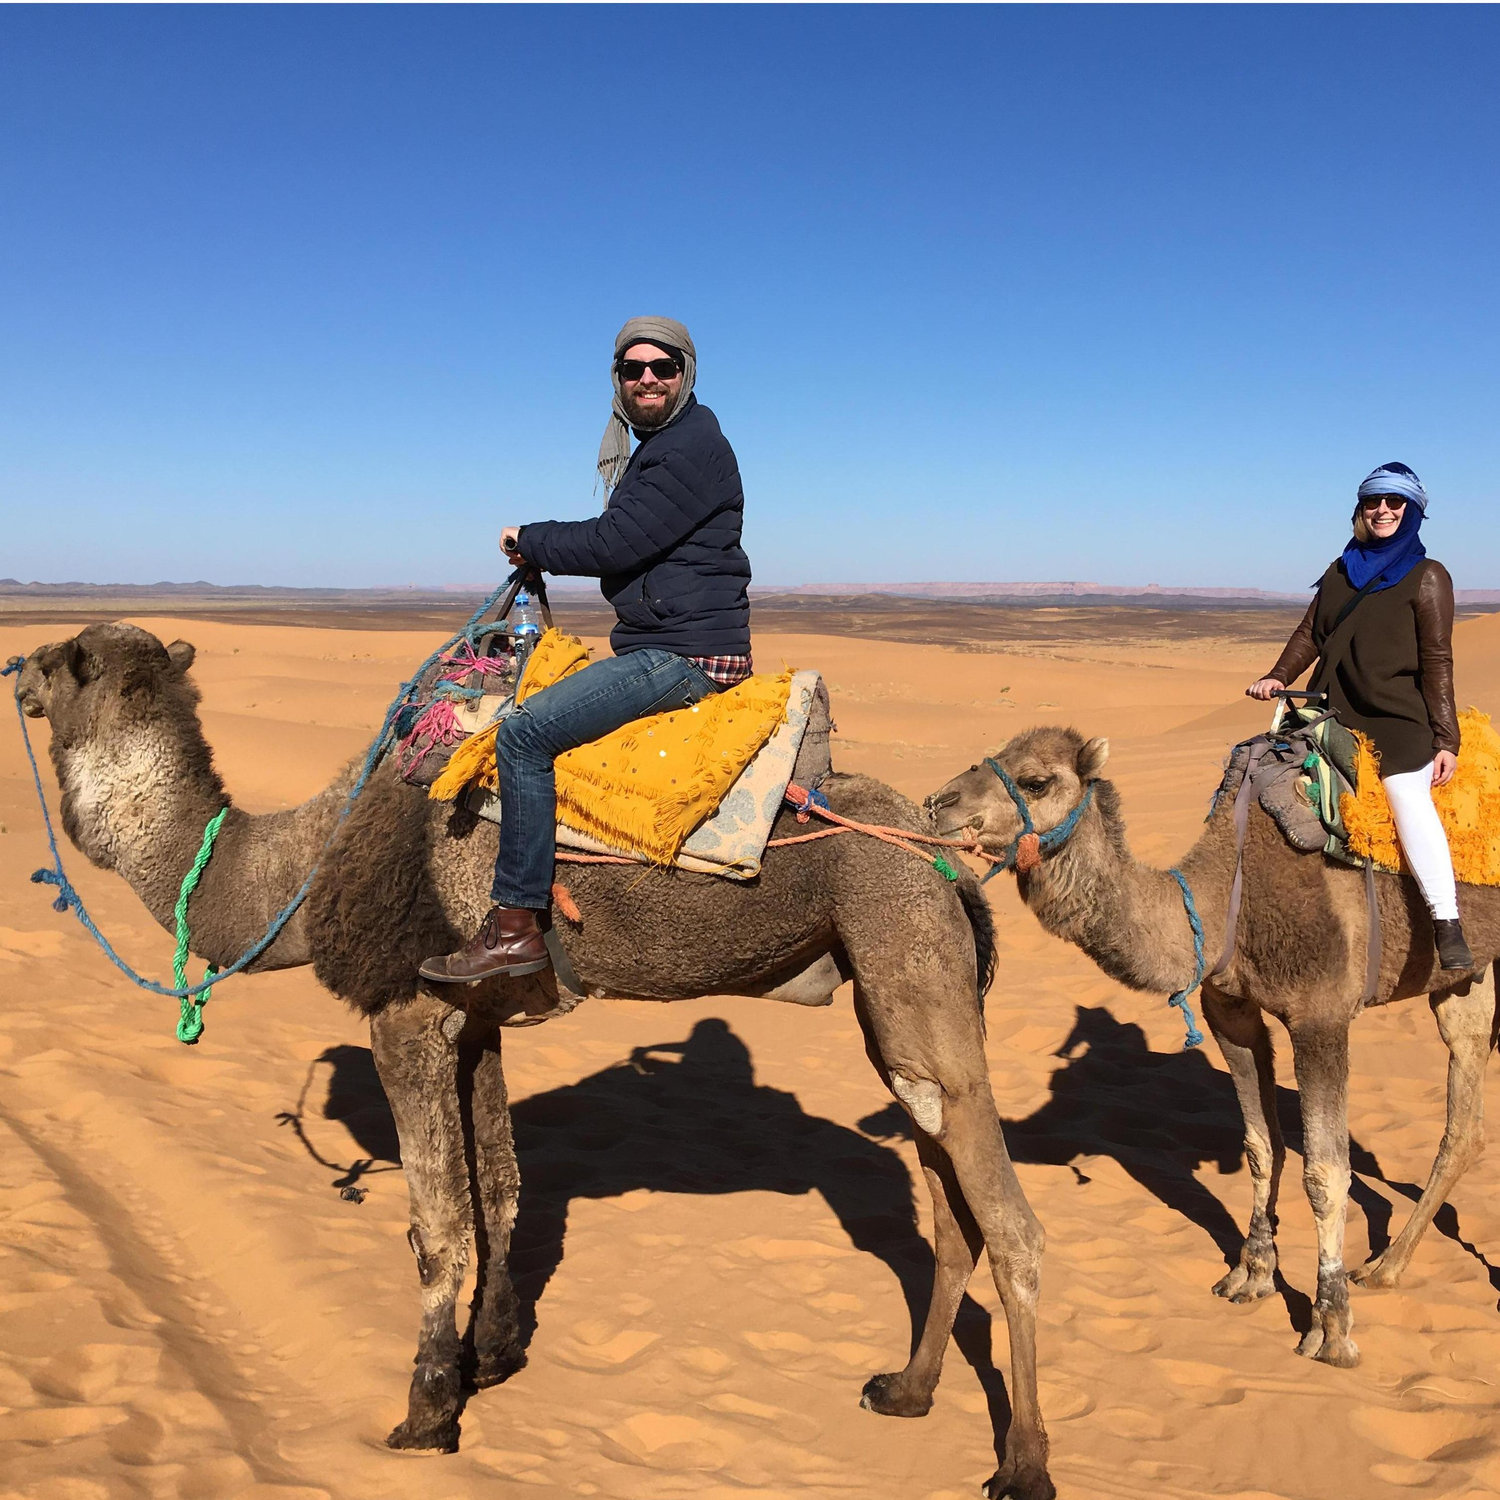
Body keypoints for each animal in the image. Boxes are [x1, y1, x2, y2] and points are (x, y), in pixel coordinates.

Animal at [13, 622, 1055, 1500]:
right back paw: (905, 1391)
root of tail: (944, 855)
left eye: (68, 661)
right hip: (889, 991)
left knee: (1011, 1224)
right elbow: (503, 1190)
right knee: (947, 1199)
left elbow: (437, 1226)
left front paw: (427, 1412)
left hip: (904, 938)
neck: (298, 870)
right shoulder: (475, 1018)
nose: (16, 669)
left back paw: (1023, 1466)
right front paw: (495, 1354)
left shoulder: (407, 1015)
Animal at [926, 726, 1500, 1370]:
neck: (1226, 898)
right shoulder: (1230, 1011)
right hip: (1463, 977)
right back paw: (1385, 1267)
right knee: (1465, 1117)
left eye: (1035, 781)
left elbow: (1327, 1174)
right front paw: (1251, 1276)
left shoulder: (1322, 1016)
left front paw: (1330, 1327)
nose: (938, 804)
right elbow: (1261, 1147)